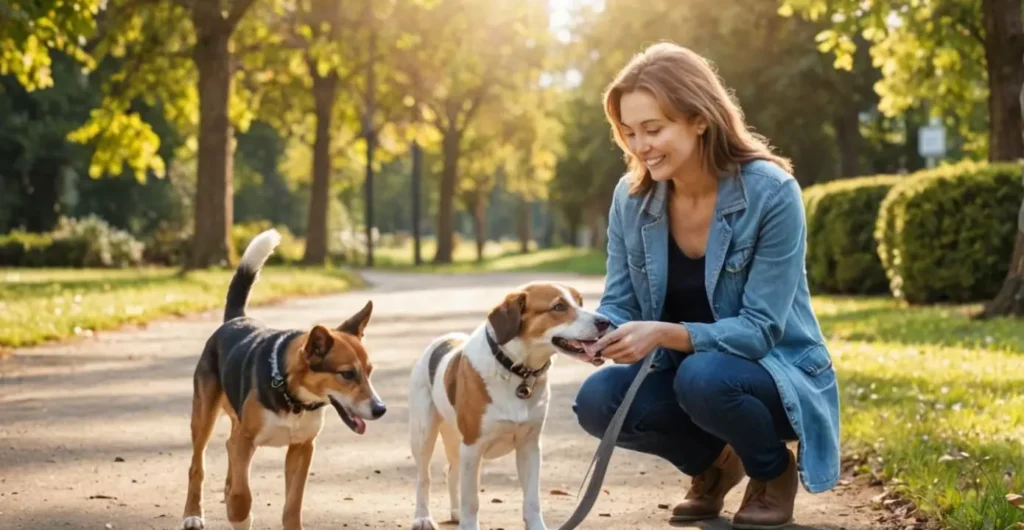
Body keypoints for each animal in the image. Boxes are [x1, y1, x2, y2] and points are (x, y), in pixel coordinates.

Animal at [180, 229, 387, 530]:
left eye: (370, 371)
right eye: (347, 374)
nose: (380, 409)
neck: (292, 396)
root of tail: (235, 319)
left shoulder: (301, 449)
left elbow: (292, 505)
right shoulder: (245, 441)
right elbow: (242, 494)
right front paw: (239, 515)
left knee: (229, 457)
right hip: (204, 416)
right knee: (198, 466)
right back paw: (193, 514)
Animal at [407, 284, 610, 527]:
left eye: (580, 303)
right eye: (559, 307)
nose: (606, 322)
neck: (516, 370)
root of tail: (444, 340)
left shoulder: (529, 447)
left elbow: (532, 499)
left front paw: (537, 526)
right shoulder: (472, 447)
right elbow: (471, 501)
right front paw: (469, 525)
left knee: (451, 471)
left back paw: (455, 513)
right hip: (424, 433)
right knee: (423, 477)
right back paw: (422, 517)